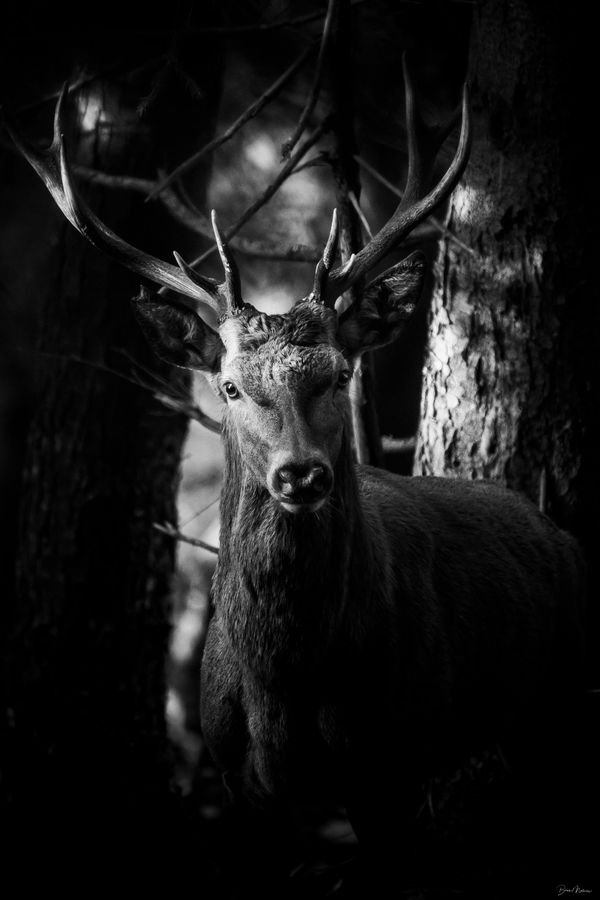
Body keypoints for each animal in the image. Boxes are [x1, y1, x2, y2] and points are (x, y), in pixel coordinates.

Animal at [9, 69, 587, 893]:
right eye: (227, 385)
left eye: (341, 373)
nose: (301, 474)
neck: (287, 689)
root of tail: (560, 535)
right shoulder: (234, 777)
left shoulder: (389, 764)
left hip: (563, 690)